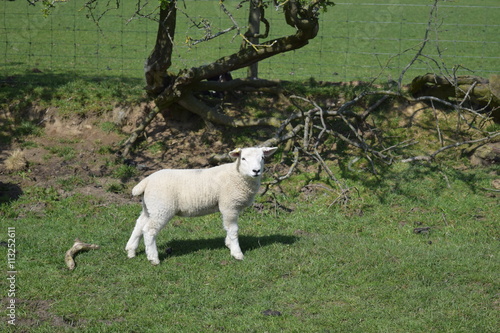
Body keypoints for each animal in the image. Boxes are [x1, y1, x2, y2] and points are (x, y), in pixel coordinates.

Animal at [125, 146, 278, 264]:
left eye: (262, 158)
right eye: (244, 159)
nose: (256, 171)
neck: (237, 175)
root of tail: (146, 181)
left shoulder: (233, 207)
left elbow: (228, 228)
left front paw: (228, 244)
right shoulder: (229, 205)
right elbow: (233, 230)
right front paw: (237, 253)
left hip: (150, 207)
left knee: (139, 225)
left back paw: (131, 250)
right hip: (162, 208)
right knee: (149, 230)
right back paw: (153, 258)